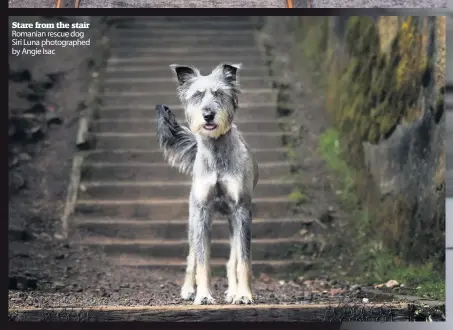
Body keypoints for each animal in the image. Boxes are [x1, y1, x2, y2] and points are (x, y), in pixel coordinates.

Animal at [154, 62, 258, 304]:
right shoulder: (202, 213)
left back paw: (233, 292)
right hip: (193, 220)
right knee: (191, 256)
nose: (208, 115)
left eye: (219, 93)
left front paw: (244, 295)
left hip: (232, 221)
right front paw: (203, 295)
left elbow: (243, 259)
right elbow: (202, 260)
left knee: (233, 258)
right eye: (197, 95)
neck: (216, 153)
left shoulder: (242, 211)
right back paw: (188, 290)